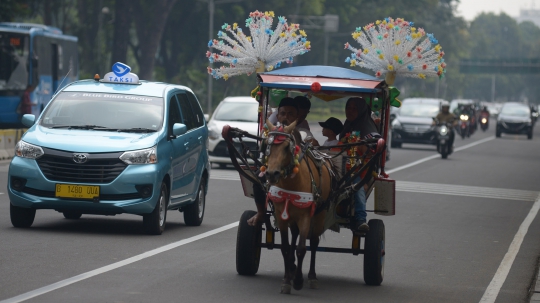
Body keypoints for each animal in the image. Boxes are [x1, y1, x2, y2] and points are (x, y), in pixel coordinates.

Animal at [262, 119, 334, 294]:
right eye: (267, 145)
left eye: (286, 147)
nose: (271, 174)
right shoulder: (281, 215)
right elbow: (286, 247)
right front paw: (287, 280)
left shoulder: (306, 216)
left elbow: (302, 248)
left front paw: (299, 281)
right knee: (294, 235)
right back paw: (292, 267)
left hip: (320, 214)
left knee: (313, 242)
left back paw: (312, 277)